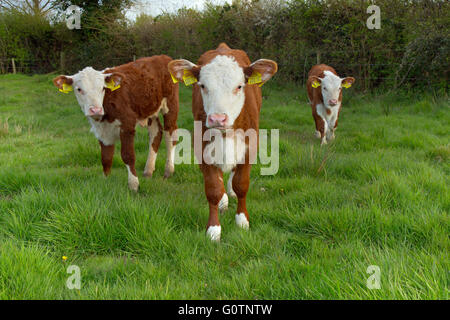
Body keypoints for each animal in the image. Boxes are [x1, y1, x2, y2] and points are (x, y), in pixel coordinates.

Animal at [53, 55, 178, 190]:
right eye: (79, 89)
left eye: (103, 88)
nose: (95, 109)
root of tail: (163, 57)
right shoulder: (100, 129)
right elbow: (106, 157)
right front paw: (106, 181)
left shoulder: (127, 125)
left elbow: (128, 155)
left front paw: (134, 185)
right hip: (150, 109)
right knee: (156, 133)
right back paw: (148, 171)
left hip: (170, 105)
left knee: (170, 135)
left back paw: (168, 171)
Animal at [167, 43, 276, 241]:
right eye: (202, 86)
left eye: (239, 86)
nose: (218, 118)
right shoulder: (202, 148)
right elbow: (213, 188)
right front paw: (214, 229)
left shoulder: (249, 148)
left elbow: (241, 185)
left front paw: (242, 221)